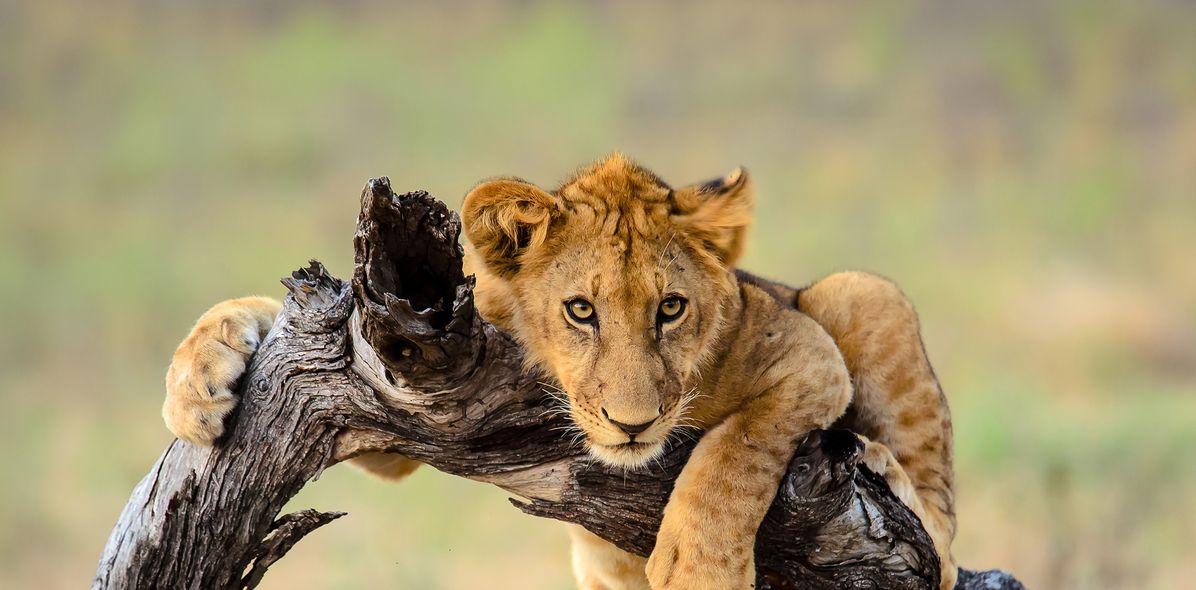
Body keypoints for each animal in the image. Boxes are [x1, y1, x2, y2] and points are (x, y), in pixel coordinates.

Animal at [162, 154, 957, 589]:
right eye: (580, 310)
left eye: (671, 308)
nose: (633, 425)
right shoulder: (399, 384)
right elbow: (284, 315)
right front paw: (196, 382)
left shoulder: (809, 356)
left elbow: (736, 452)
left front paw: (699, 568)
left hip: (860, 292)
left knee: (942, 529)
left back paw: (891, 474)